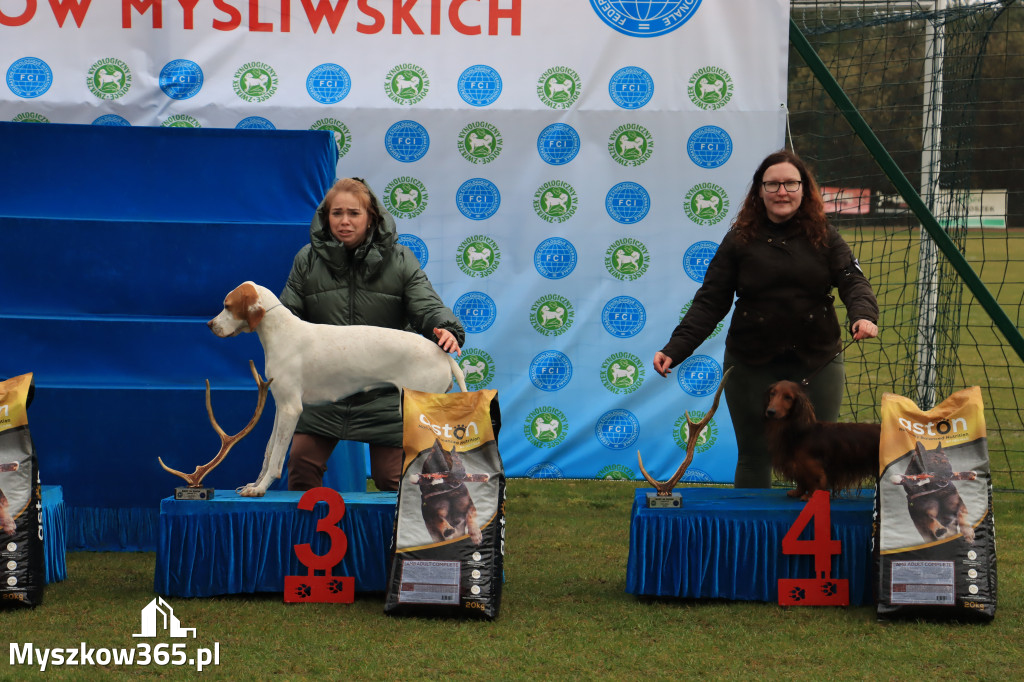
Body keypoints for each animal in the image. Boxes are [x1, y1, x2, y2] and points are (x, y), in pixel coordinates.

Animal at [207, 280, 468, 493]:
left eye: (227, 305)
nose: (210, 324)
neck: (282, 332)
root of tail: (443, 355)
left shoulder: (291, 409)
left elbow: (277, 458)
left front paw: (261, 488)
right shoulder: (280, 407)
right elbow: (269, 451)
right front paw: (255, 484)